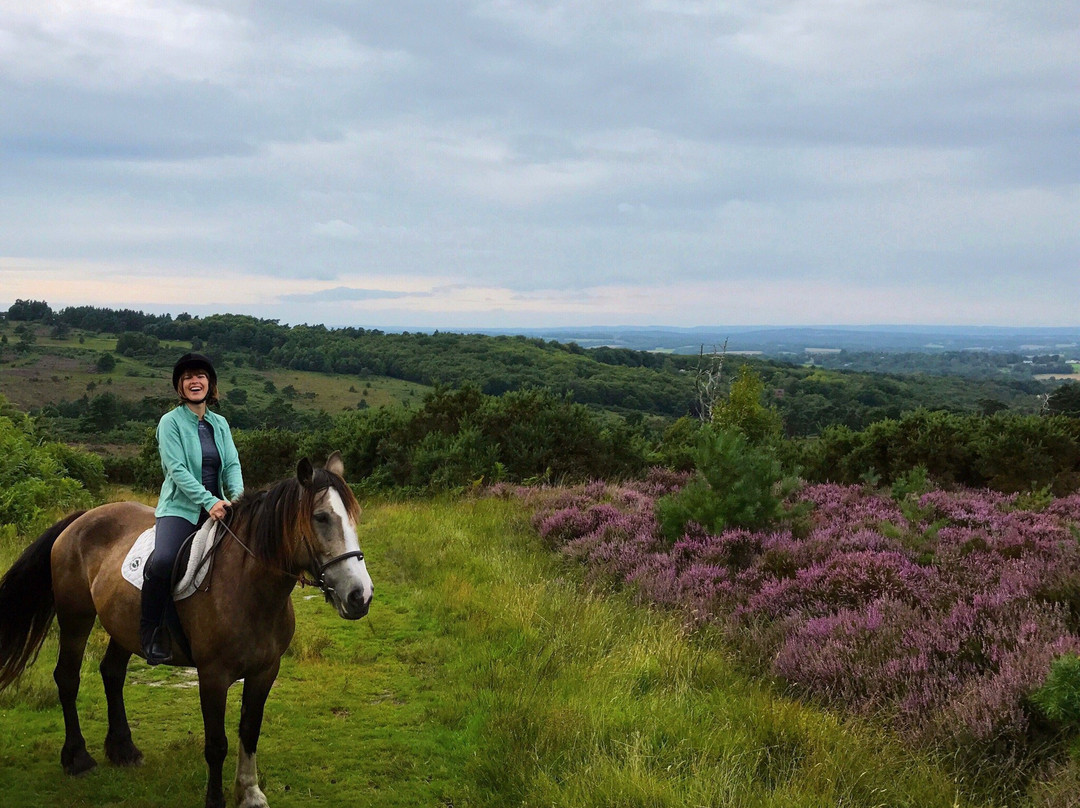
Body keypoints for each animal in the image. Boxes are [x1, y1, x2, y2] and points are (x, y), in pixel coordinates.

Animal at [0, 451, 373, 808]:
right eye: (321, 517)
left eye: (354, 517)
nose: (360, 596)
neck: (248, 587)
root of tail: (81, 518)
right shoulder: (213, 675)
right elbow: (217, 743)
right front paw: (215, 799)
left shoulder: (265, 671)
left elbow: (249, 731)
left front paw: (250, 793)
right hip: (75, 617)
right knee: (67, 677)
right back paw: (77, 758)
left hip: (124, 626)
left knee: (112, 673)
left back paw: (123, 750)